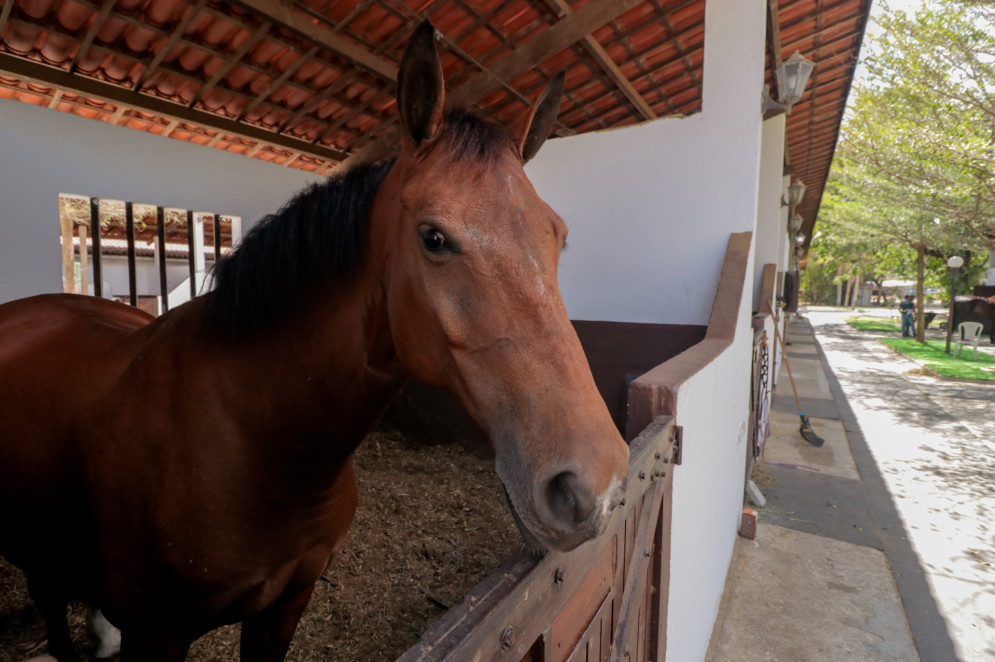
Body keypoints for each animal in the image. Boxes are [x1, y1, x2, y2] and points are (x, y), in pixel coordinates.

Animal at [0, 19, 632, 662]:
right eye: (433, 237)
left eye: (558, 237)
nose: (595, 486)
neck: (251, 437)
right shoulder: (157, 634)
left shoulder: (285, 607)